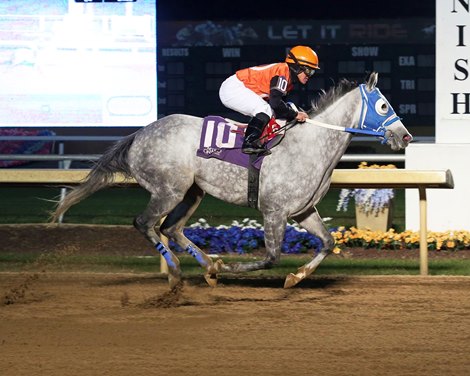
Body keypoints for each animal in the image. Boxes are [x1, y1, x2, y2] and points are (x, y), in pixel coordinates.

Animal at [50, 72, 412, 288]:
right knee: (145, 223)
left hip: (192, 192)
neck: (309, 145)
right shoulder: (274, 211)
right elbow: (271, 257)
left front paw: (296, 277)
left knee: (171, 228)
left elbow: (327, 242)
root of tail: (139, 133)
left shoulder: (302, 211)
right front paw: (232, 269)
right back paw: (179, 272)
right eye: (383, 105)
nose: (405, 136)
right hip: (169, 189)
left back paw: (207, 268)